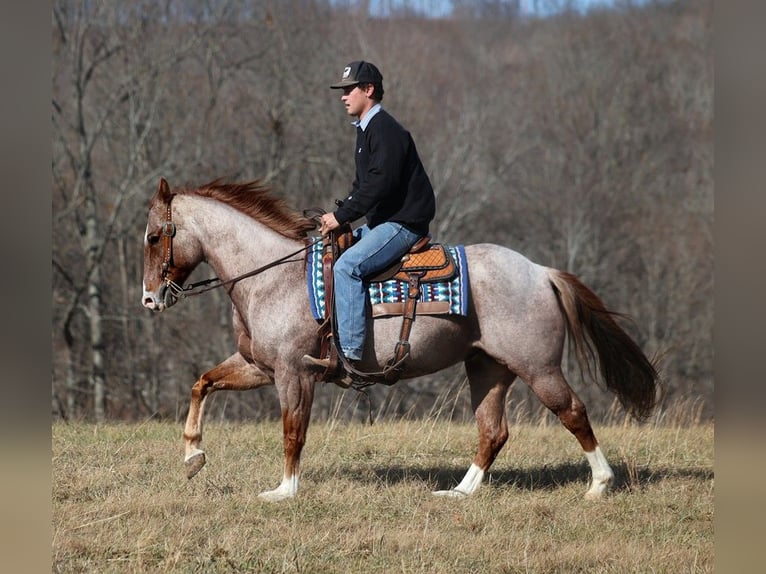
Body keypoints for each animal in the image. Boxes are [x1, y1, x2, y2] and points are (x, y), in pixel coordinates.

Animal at [142, 178, 660, 502]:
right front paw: (192, 457)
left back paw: (600, 484)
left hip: (538, 367)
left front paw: (283, 491)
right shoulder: (258, 367)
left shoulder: (295, 373)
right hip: (487, 368)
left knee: (572, 412)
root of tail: (540, 272)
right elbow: (202, 383)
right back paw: (460, 492)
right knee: (493, 431)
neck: (273, 277)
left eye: (153, 237)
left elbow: (293, 432)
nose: (149, 299)